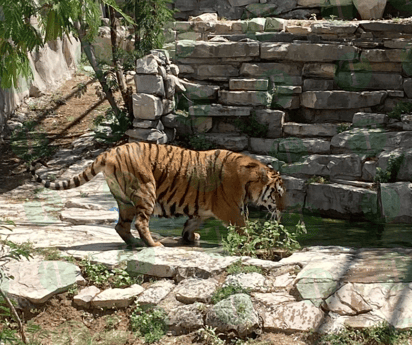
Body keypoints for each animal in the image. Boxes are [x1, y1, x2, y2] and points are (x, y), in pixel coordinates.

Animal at [30, 141, 284, 246]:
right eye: (278, 193)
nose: (283, 209)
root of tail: (109, 152)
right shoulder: (231, 211)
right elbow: (245, 229)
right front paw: (256, 243)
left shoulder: (200, 211)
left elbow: (190, 224)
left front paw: (190, 238)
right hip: (146, 190)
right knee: (141, 222)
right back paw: (153, 245)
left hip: (124, 201)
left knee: (121, 226)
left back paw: (134, 243)